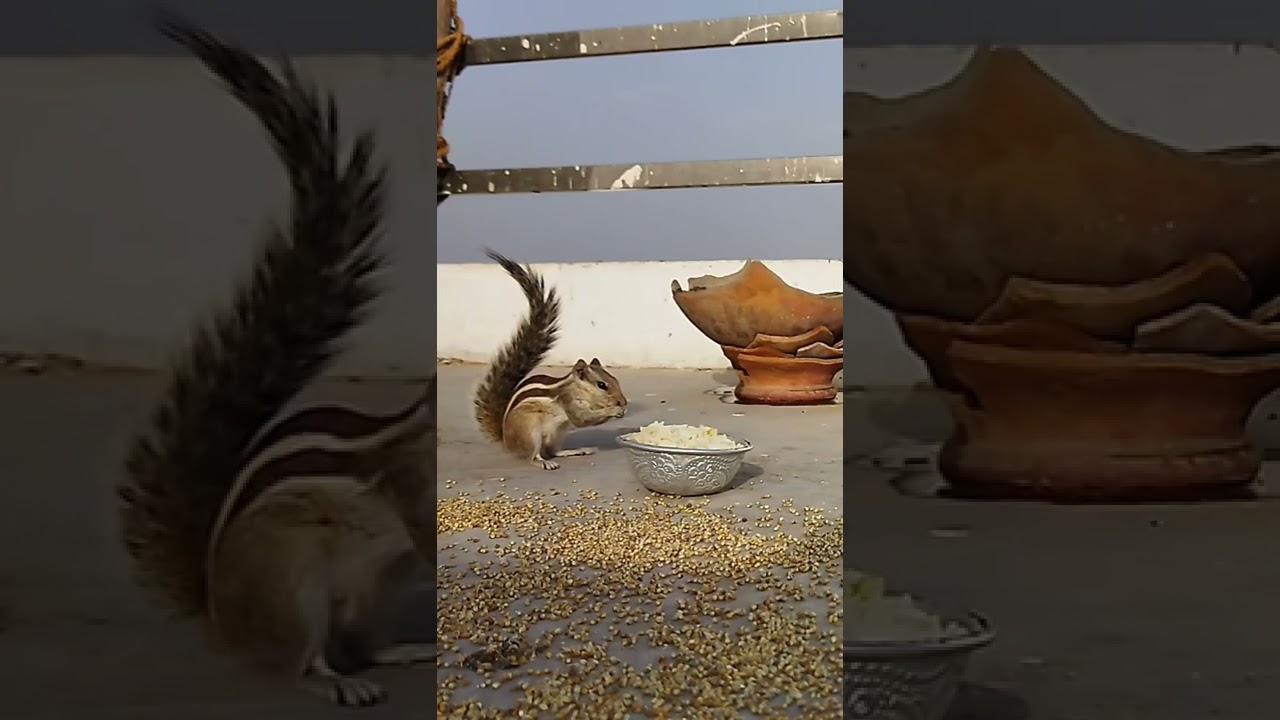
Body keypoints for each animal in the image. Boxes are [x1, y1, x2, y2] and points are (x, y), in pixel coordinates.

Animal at [116, 19, 435, 708]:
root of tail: (221, 621)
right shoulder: (411, 480)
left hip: (376, 586)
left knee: (359, 642)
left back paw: (404, 650)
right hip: (293, 574)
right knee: (302, 664)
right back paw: (339, 685)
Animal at [473, 250, 628, 470]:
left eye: (615, 380)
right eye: (602, 385)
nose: (623, 401)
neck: (576, 388)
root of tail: (506, 441)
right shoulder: (568, 402)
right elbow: (582, 419)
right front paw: (615, 410)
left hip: (558, 433)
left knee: (553, 451)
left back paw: (574, 451)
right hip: (530, 431)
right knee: (533, 456)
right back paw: (544, 463)